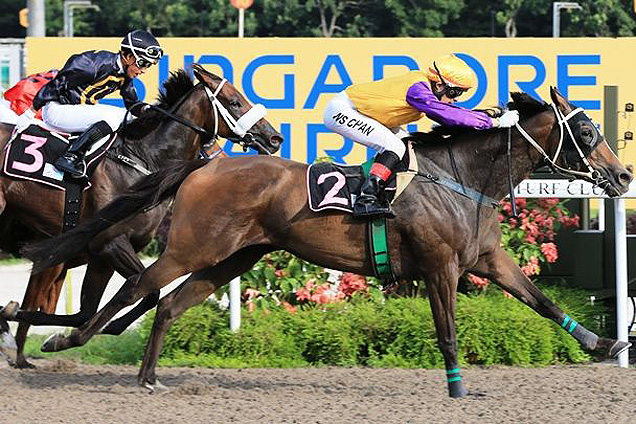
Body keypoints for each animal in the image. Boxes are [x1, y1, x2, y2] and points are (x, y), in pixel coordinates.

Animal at [0, 63, 284, 368]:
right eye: (234, 102)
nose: (274, 138)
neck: (143, 159)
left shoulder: (101, 256)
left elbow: (87, 312)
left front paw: (53, 332)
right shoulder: (110, 243)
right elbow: (147, 290)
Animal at [21, 88, 632, 396]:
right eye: (585, 131)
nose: (622, 175)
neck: (464, 178)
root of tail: (204, 164)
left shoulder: (487, 259)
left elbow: (544, 301)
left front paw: (606, 344)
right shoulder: (440, 267)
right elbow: (448, 333)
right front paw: (459, 390)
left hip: (233, 257)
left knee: (169, 303)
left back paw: (149, 377)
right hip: (193, 248)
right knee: (139, 290)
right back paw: (64, 341)